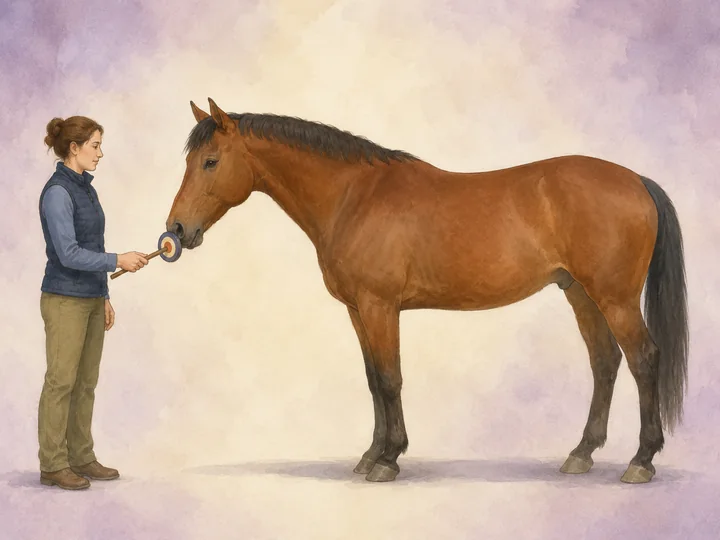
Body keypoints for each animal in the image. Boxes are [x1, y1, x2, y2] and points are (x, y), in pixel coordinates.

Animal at [165, 97, 688, 484]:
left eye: (210, 161)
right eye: (190, 160)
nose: (176, 231)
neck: (354, 196)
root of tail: (636, 180)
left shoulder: (380, 306)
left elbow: (390, 379)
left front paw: (388, 460)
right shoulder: (358, 310)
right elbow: (373, 379)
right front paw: (371, 454)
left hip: (615, 299)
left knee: (643, 360)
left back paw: (641, 461)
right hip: (580, 293)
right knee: (605, 362)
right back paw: (580, 454)